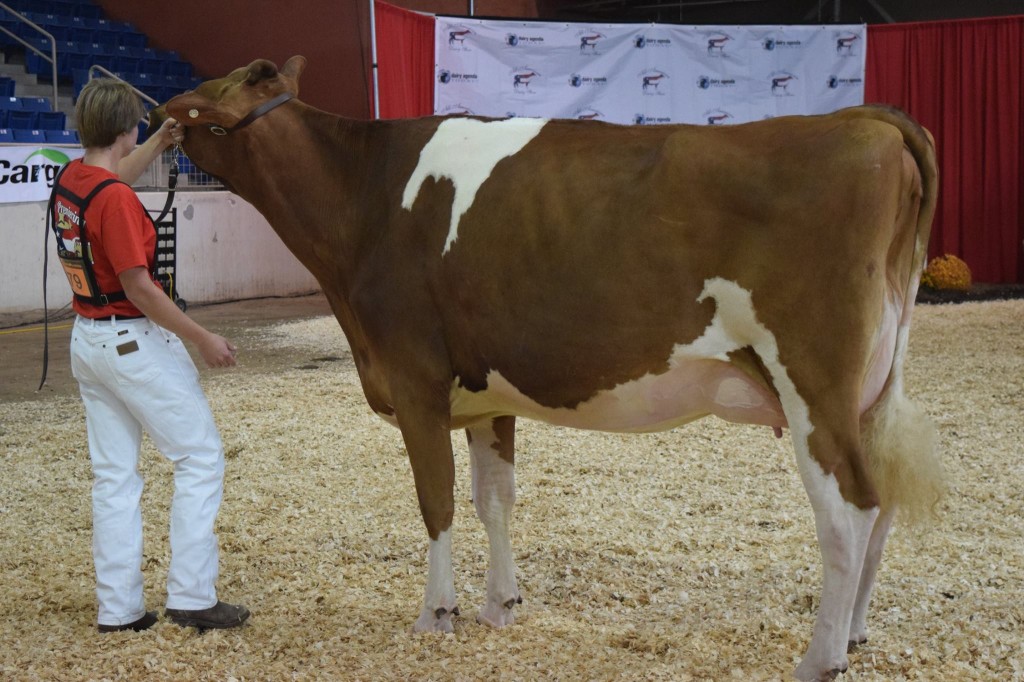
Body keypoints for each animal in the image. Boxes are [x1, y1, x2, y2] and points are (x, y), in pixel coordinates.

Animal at [151, 56, 942, 681]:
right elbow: (494, 499)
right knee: (880, 507)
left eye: (209, 93)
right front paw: (501, 605)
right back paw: (856, 633)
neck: (363, 199)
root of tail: (865, 121)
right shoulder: (485, 394)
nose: (154, 114)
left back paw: (821, 657)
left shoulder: (413, 378)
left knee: (849, 510)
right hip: (870, 390)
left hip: (812, 380)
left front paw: (437, 613)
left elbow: (437, 501)